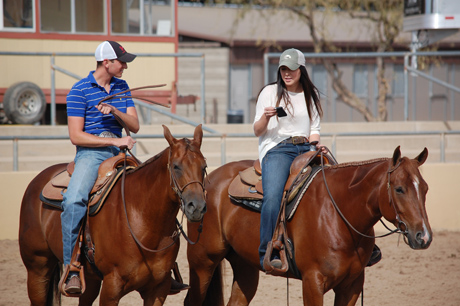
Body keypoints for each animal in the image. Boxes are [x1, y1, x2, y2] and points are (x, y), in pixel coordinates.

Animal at [18, 125, 207, 306]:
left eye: (204, 166)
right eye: (176, 166)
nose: (197, 207)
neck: (143, 219)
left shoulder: (158, 289)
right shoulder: (111, 287)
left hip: (90, 280)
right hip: (38, 269)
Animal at [185, 147, 434, 304]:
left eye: (425, 188)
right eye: (399, 189)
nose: (423, 236)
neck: (338, 213)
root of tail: (209, 180)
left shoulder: (352, 285)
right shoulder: (313, 282)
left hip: (245, 265)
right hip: (203, 261)